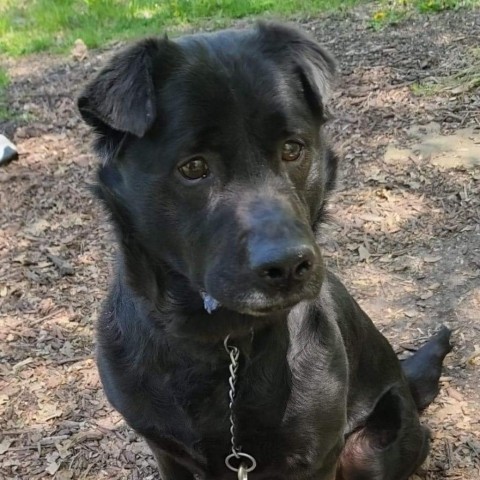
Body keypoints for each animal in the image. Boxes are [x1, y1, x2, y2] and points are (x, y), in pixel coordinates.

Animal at [78, 20, 450, 478]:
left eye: (292, 148)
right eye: (193, 167)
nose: (290, 265)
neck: (223, 349)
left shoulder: (316, 457)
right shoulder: (166, 452)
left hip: (370, 449)